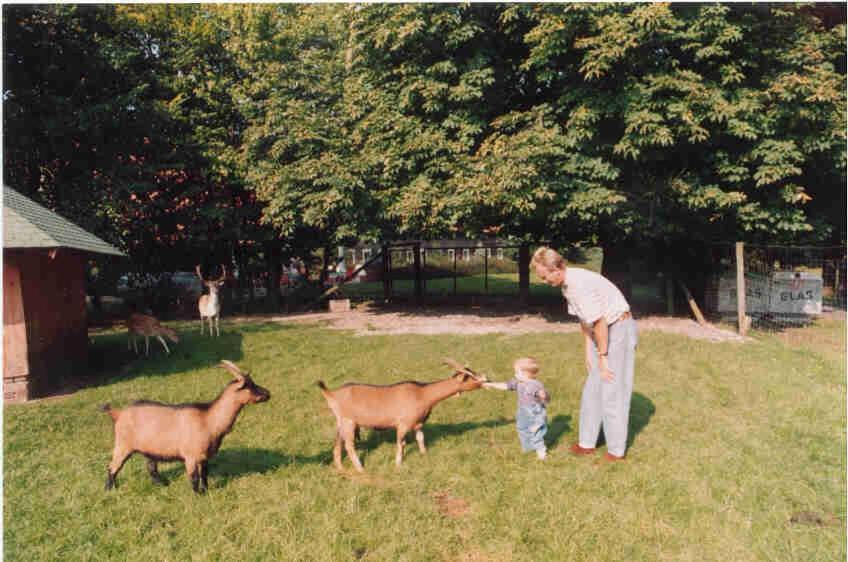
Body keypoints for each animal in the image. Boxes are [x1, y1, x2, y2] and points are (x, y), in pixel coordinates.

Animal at [101, 358, 270, 490]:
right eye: (249, 385)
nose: (268, 393)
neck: (209, 419)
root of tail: (118, 413)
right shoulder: (191, 456)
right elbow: (194, 478)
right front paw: (198, 496)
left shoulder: (204, 457)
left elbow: (204, 475)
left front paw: (206, 491)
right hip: (123, 445)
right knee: (113, 467)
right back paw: (110, 489)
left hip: (149, 449)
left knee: (151, 468)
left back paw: (163, 484)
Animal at [316, 356, 490, 470]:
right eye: (470, 377)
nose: (486, 379)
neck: (422, 394)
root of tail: (331, 394)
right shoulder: (403, 424)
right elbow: (401, 443)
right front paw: (398, 464)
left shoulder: (418, 424)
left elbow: (420, 439)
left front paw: (424, 455)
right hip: (349, 421)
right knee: (349, 445)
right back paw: (360, 469)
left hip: (341, 422)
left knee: (337, 443)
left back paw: (340, 468)